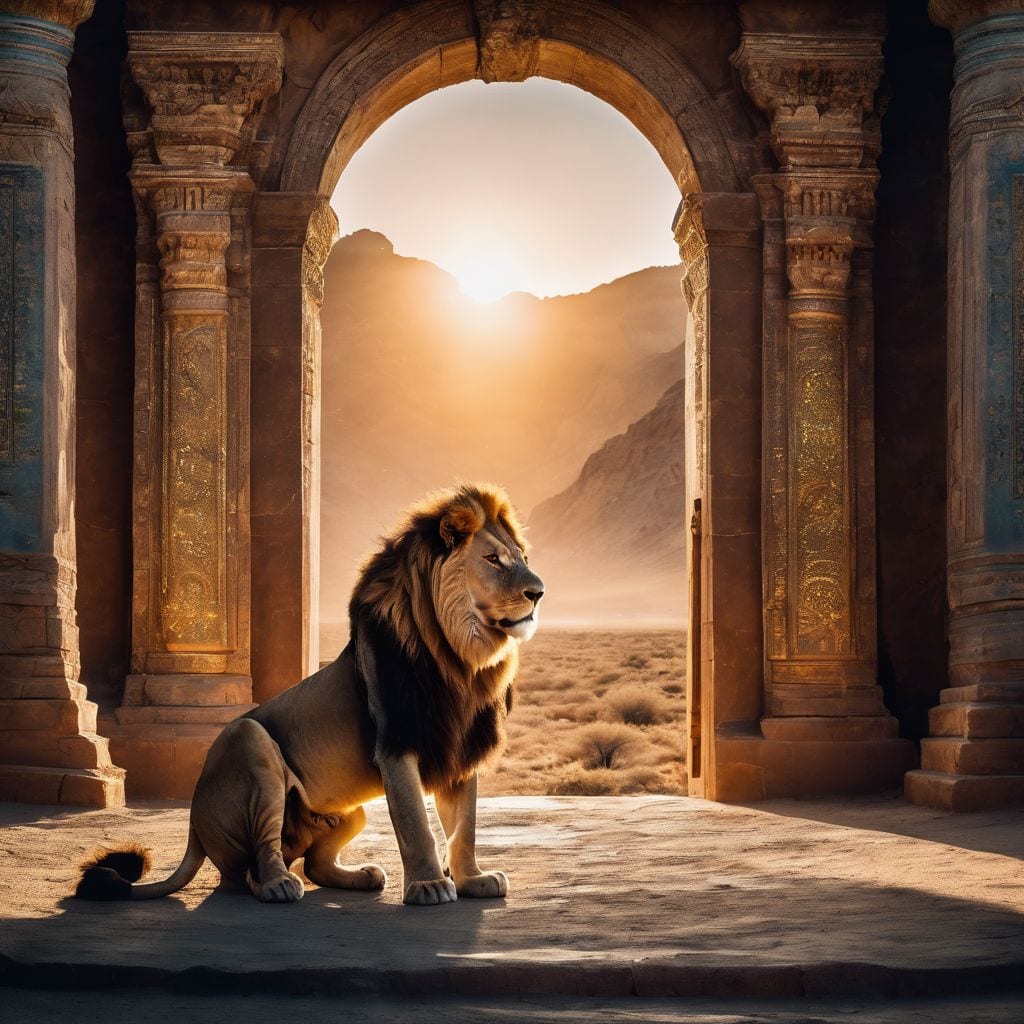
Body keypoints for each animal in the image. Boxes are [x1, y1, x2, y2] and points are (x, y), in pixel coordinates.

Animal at [76, 483, 544, 906]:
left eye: (523, 558)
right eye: (492, 559)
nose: (538, 593)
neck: (459, 659)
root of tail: (192, 822)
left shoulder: (459, 747)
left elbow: (465, 827)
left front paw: (472, 880)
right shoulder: (395, 742)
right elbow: (416, 823)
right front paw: (429, 886)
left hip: (348, 810)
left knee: (314, 864)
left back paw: (364, 875)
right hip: (249, 742)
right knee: (251, 868)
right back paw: (279, 886)